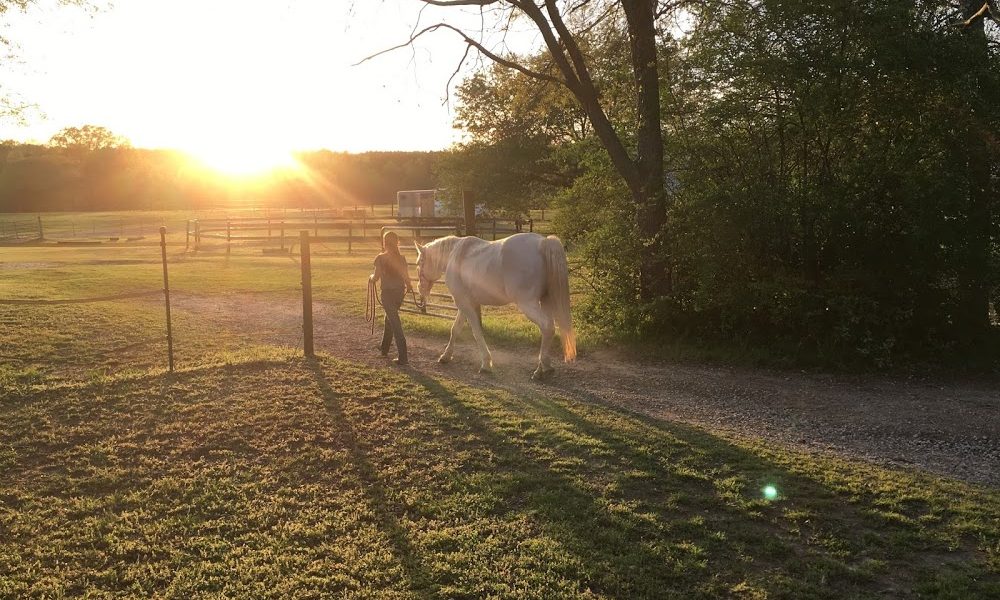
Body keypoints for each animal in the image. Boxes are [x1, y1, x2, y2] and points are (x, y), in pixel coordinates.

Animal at [412, 232, 576, 378]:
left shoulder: (464, 303)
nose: (420, 289)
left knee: (547, 326)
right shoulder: (465, 303)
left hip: (528, 304)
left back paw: (540, 370)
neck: (455, 255)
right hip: (545, 301)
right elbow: (455, 329)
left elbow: (476, 332)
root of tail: (543, 242)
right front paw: (446, 356)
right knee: (549, 329)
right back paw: (546, 366)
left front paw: (486, 364)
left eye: (419, 263)